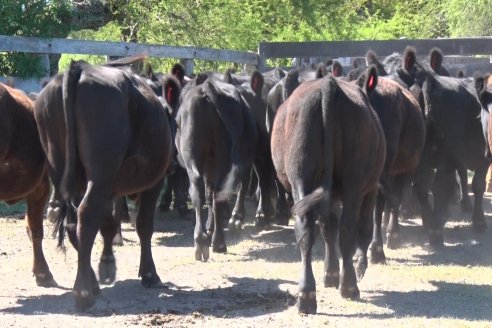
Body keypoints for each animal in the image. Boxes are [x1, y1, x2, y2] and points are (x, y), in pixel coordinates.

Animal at [34, 59, 175, 310]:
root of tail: (79, 69)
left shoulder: (112, 187)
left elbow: (109, 223)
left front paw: (107, 263)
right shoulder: (153, 182)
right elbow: (144, 225)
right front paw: (149, 274)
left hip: (63, 170)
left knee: (74, 223)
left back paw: (91, 283)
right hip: (101, 173)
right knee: (87, 214)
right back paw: (83, 292)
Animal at [270, 66, 386, 312]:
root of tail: (328, 85)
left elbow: (327, 227)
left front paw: (330, 273)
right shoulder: (370, 187)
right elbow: (362, 228)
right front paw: (357, 266)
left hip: (301, 177)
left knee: (305, 229)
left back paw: (306, 295)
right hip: (354, 182)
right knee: (349, 228)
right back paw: (349, 286)